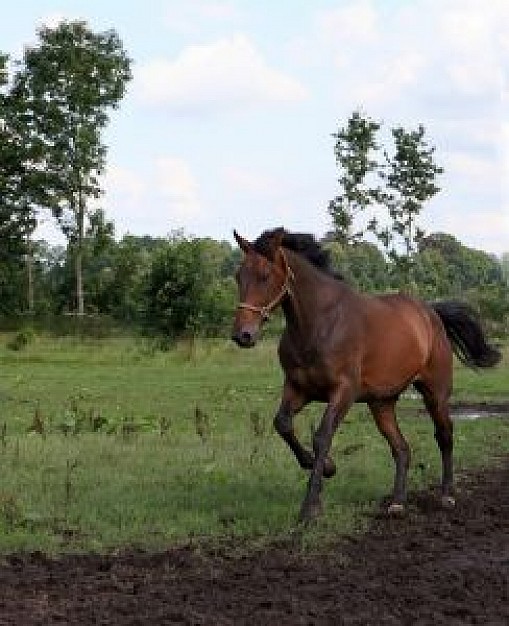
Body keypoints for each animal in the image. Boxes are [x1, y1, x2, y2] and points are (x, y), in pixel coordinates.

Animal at [232, 227, 502, 520]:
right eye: (238, 275)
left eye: (265, 275)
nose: (242, 335)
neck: (321, 323)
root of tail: (432, 314)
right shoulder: (298, 388)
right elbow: (282, 424)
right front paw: (325, 467)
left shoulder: (343, 391)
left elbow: (322, 436)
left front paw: (311, 506)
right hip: (381, 403)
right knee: (401, 448)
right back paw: (397, 502)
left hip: (435, 393)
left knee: (444, 435)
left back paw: (447, 496)